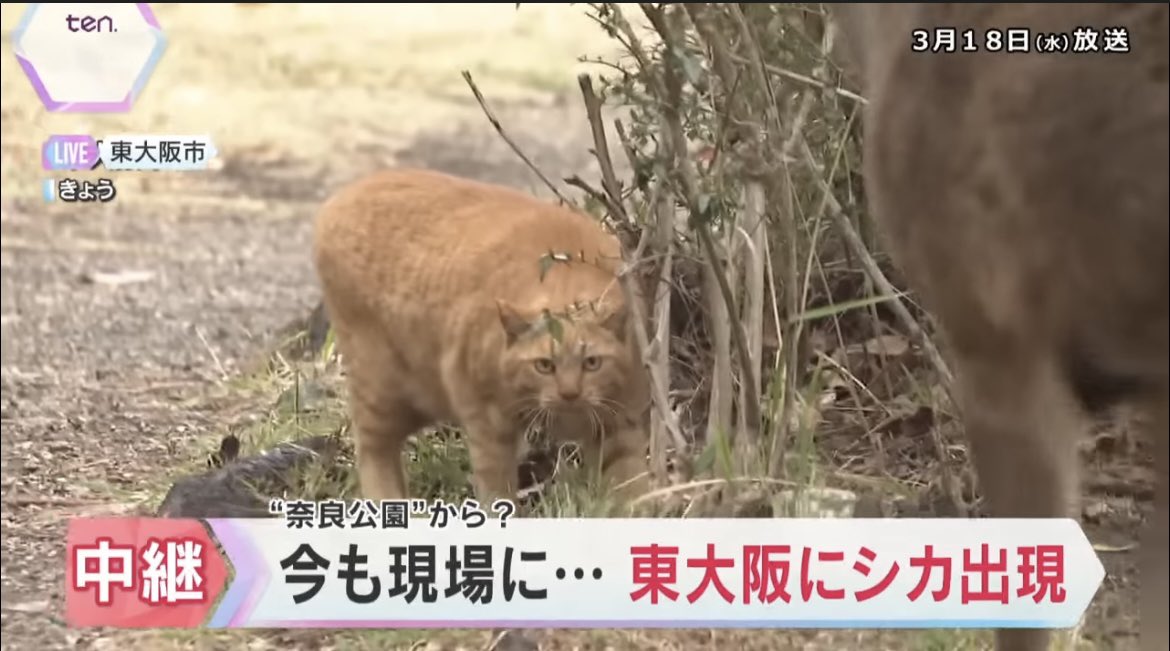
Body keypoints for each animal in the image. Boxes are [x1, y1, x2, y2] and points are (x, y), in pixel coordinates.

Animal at [312, 168, 652, 508]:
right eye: (544, 366)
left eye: (592, 363)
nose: (570, 393)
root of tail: (344, 195)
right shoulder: (488, 424)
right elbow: (497, 491)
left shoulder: (621, 426)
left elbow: (633, 492)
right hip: (383, 389)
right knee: (372, 448)